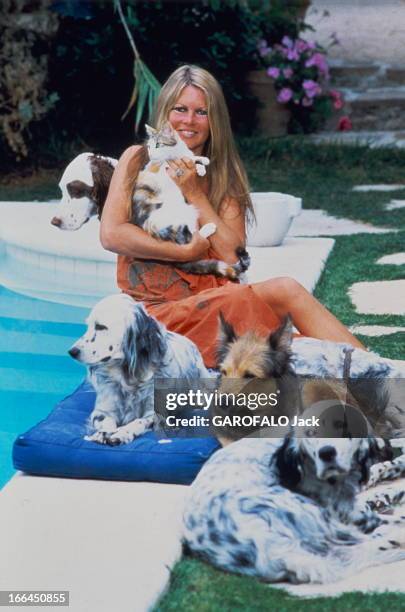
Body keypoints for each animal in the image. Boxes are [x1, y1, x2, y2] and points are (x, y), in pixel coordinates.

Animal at [67, 292, 208, 444]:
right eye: (88, 326)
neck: (127, 377)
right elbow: (105, 421)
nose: (72, 351)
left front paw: (122, 433)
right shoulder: (103, 410)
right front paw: (103, 433)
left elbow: (138, 422)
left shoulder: (154, 412)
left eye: (100, 327)